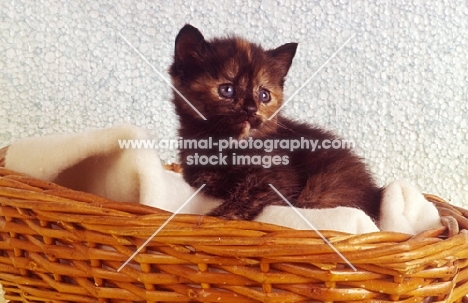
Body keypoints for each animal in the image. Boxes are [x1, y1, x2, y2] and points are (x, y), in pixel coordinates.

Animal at [168, 24, 380, 221]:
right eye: (227, 90)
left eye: (264, 95)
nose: (251, 108)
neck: (224, 145)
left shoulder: (277, 181)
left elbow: (243, 200)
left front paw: (211, 218)